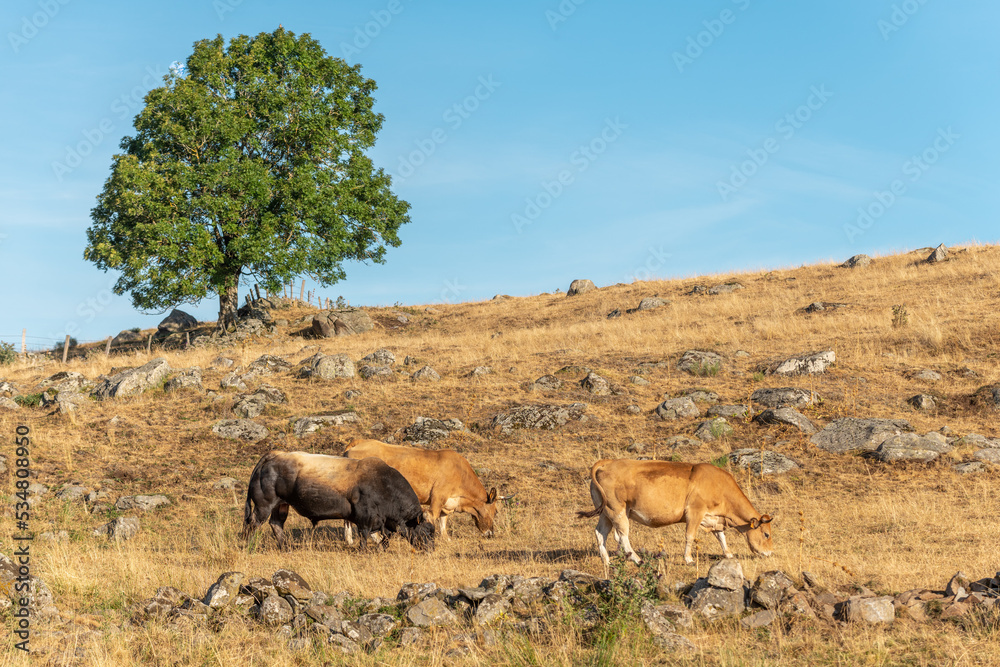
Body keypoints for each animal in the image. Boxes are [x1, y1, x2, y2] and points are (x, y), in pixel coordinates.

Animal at [242, 451, 434, 551]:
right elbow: (365, 535)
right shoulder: (365, 517)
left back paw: (285, 547)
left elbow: (384, 537)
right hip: (264, 505)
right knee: (253, 523)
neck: (383, 483)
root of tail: (274, 455)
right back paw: (248, 545)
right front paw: (364, 550)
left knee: (276, 524)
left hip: (281, 505)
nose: (431, 549)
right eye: (426, 532)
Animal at [343, 439, 506, 541]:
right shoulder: (437, 498)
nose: (491, 533)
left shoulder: (446, 504)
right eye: (496, 512)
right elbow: (432, 516)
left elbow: (443, 521)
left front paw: (446, 539)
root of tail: (358, 442)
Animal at [578, 459, 773, 568]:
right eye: (766, 534)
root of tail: (607, 462)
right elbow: (690, 536)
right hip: (617, 509)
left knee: (601, 533)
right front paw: (688, 559)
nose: (770, 553)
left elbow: (721, 537)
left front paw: (729, 554)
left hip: (606, 511)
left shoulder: (715, 518)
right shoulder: (695, 511)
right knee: (623, 536)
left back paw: (607, 561)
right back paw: (637, 559)